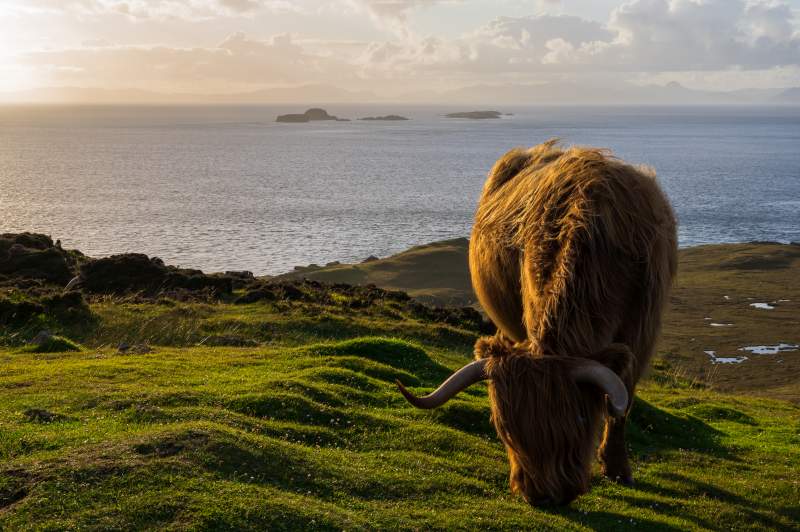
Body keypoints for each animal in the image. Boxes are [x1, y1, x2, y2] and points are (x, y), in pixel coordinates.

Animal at [398, 139, 676, 504]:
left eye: (579, 419)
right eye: (504, 430)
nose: (546, 495)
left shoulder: (641, 334)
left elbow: (622, 404)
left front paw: (618, 470)